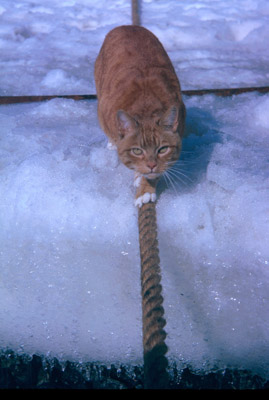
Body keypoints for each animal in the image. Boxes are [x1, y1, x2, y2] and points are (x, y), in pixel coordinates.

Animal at [93, 25, 184, 206]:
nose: (151, 165)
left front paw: (145, 189)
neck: (146, 106)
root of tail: (128, 26)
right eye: (137, 150)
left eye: (163, 149)